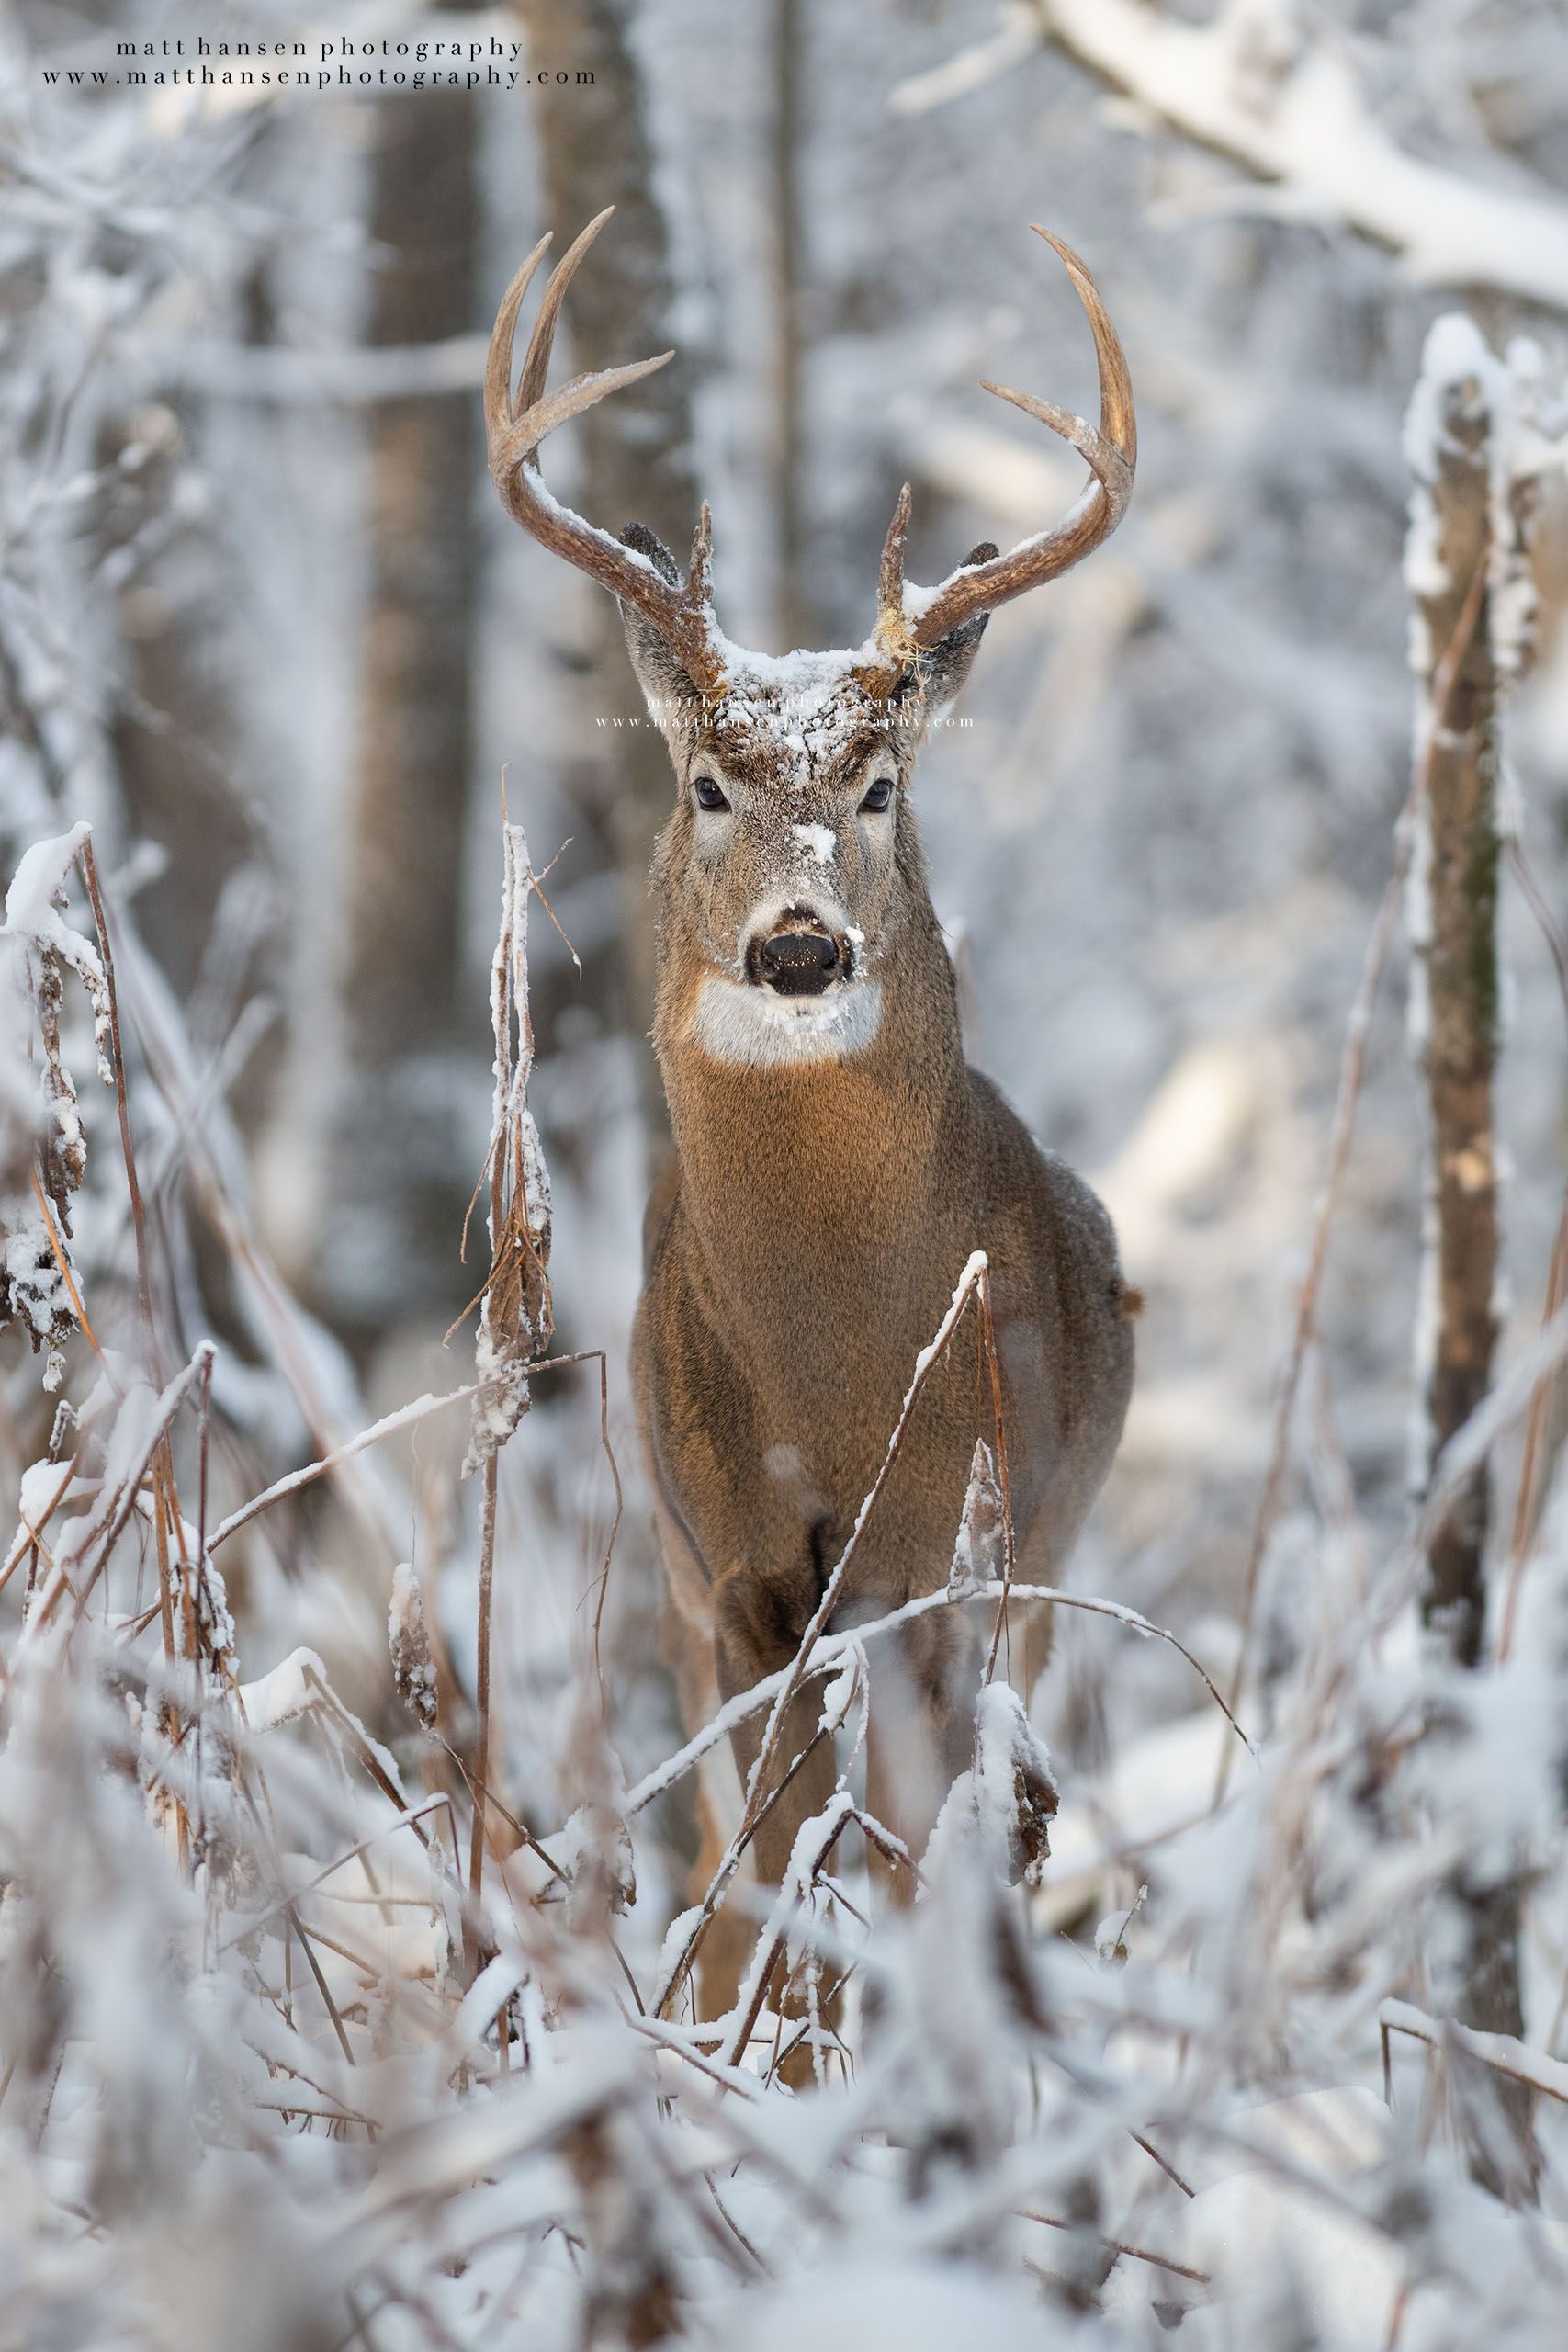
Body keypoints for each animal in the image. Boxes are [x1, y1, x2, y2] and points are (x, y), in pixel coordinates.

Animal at [484, 207, 1133, 2022]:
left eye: (881, 785)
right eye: (708, 784)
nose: (796, 944)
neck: (834, 1365)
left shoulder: (942, 1566)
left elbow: (893, 1859)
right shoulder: (729, 1576)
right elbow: (764, 1870)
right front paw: (758, 2047)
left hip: (1041, 1565)